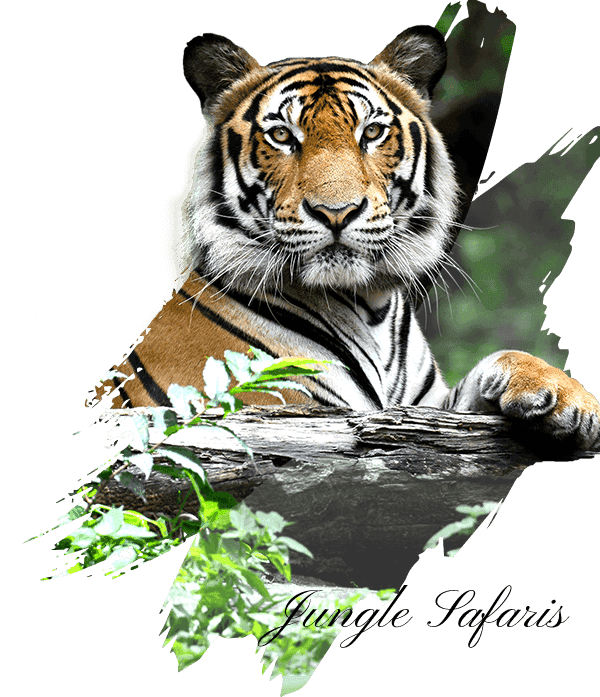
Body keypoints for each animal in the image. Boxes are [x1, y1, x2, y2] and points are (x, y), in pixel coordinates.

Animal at [97, 26, 600, 449]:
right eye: (282, 136)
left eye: (372, 132)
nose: (336, 212)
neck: (370, 305)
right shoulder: (282, 411)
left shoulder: (427, 411)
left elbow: (498, 360)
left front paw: (567, 398)